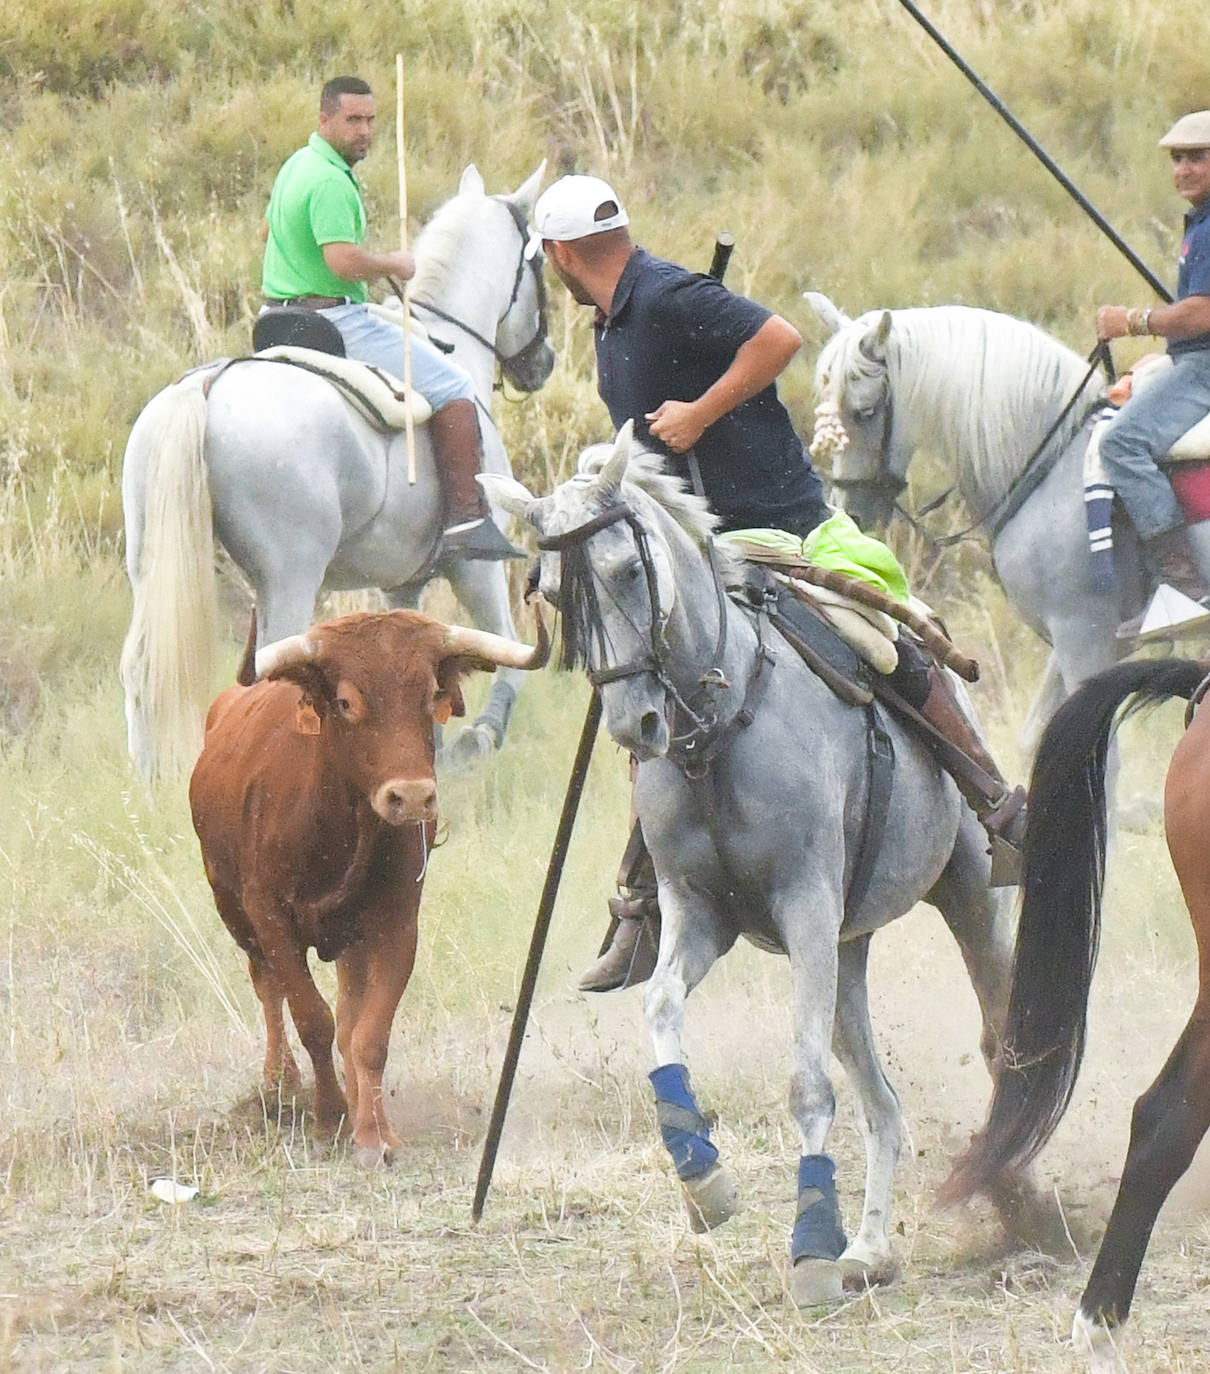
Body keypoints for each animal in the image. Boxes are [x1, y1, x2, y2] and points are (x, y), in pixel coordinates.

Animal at [118, 162, 552, 780]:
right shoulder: (476, 568)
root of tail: (209, 383)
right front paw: (480, 739)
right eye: (539, 262)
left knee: (140, 669)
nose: (543, 364)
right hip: (292, 573)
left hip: (150, 565)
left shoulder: (404, 583)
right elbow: (511, 652)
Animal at [189, 607, 546, 1165]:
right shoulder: (269, 917)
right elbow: (311, 1019)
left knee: (348, 1015)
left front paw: (373, 1132)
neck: (337, 833)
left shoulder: (396, 925)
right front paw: (328, 1119)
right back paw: (280, 1084)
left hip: (350, 941)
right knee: (267, 988)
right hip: (232, 909)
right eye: (345, 701)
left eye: (430, 695)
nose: (413, 796)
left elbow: (368, 1033)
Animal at [480, 428, 1038, 1308]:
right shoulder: (700, 916)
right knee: (882, 1100)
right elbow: (661, 1012)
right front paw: (704, 1181)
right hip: (845, 952)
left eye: (627, 571)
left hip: (969, 900)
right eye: (552, 592)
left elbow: (807, 1084)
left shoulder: (804, 904)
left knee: (997, 1041)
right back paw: (870, 1249)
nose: (635, 726)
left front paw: (809, 1247)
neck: (720, 727)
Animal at [802, 295, 1115, 758]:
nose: (850, 515)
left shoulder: (1088, 635)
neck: (1054, 461)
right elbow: (1036, 737)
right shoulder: (1068, 639)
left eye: (866, 412)